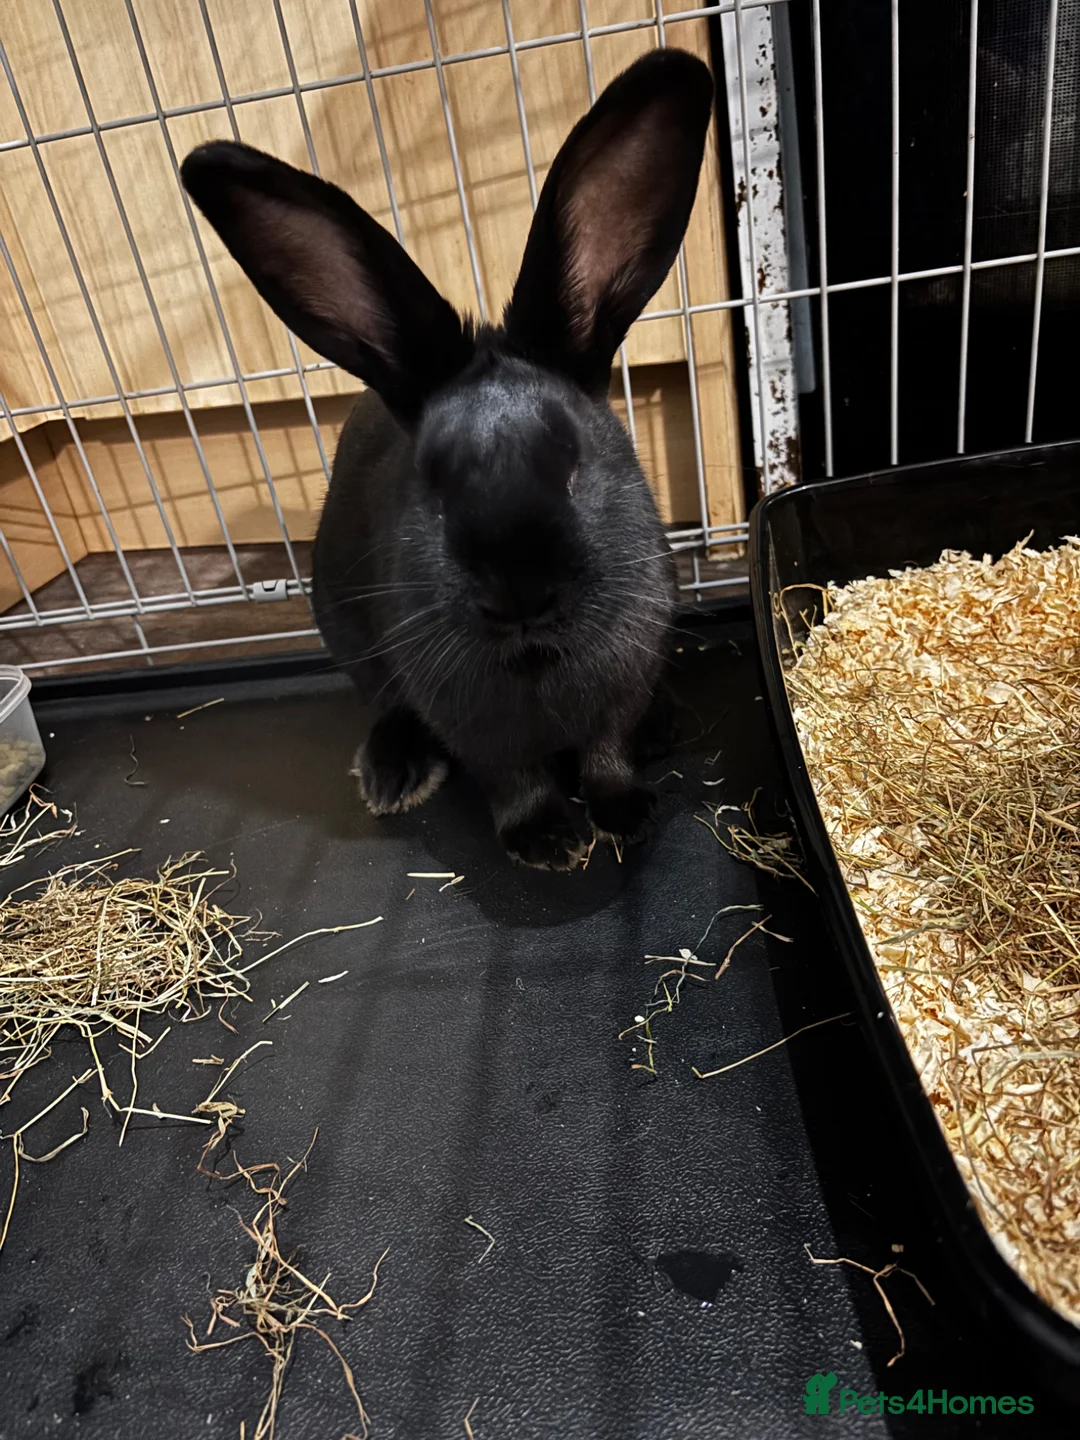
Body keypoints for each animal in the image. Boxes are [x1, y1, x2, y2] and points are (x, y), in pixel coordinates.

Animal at [181, 48, 713, 871]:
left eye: (572, 459)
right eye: (431, 482)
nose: (520, 595)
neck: (534, 655)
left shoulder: (621, 685)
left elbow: (607, 753)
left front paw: (626, 814)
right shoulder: (471, 722)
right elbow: (510, 776)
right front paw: (548, 842)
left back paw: (667, 725)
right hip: (349, 636)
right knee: (387, 705)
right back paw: (393, 774)